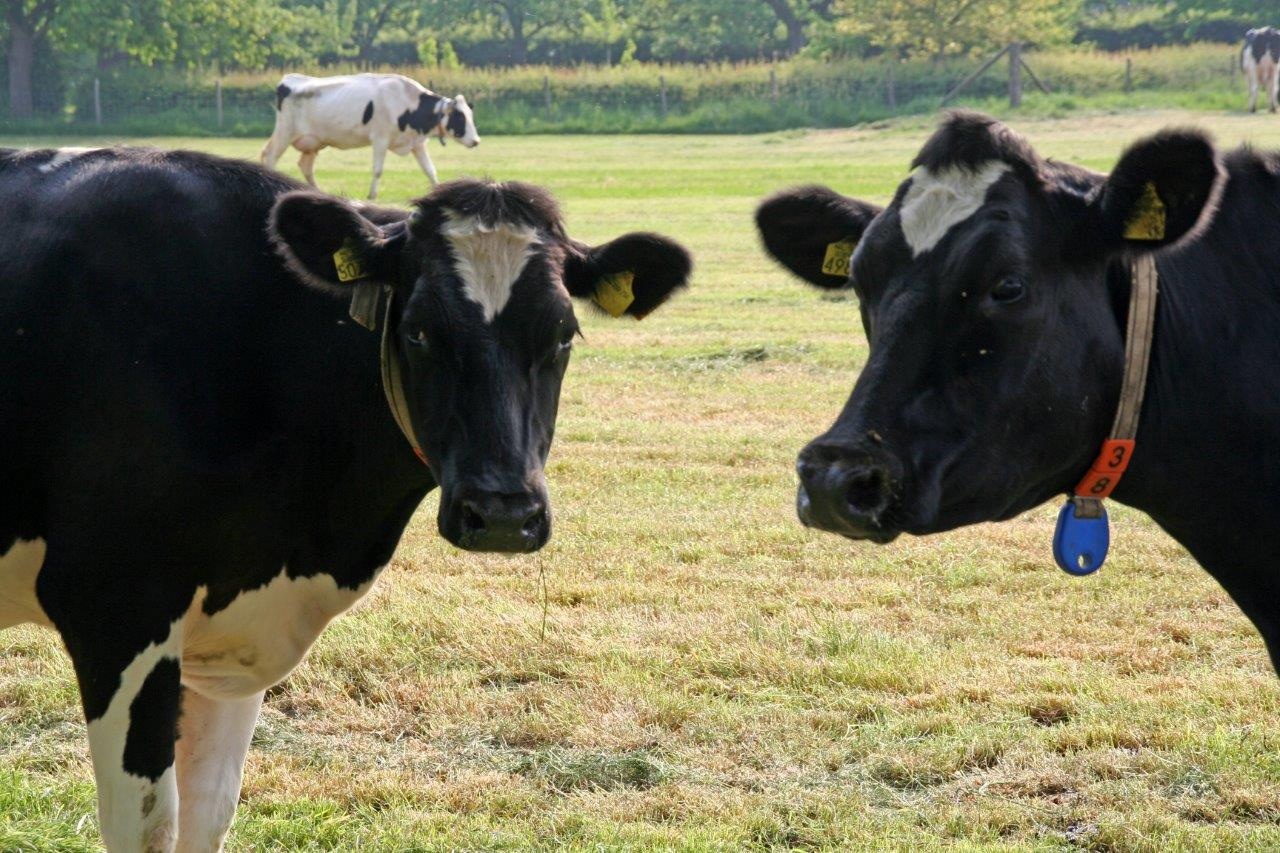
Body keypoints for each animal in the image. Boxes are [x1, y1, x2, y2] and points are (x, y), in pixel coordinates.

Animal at [0, 145, 691, 851]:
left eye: (563, 335)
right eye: (418, 332)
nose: (503, 514)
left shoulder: (231, 639)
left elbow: (209, 812)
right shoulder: (115, 608)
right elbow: (148, 826)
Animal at [261, 73, 481, 200]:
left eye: (470, 116)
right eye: (460, 117)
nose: (476, 141)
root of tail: (290, 78)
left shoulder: (417, 143)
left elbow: (430, 170)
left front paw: (438, 190)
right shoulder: (380, 138)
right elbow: (377, 170)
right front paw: (372, 195)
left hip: (312, 141)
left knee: (305, 167)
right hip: (285, 130)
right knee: (269, 156)